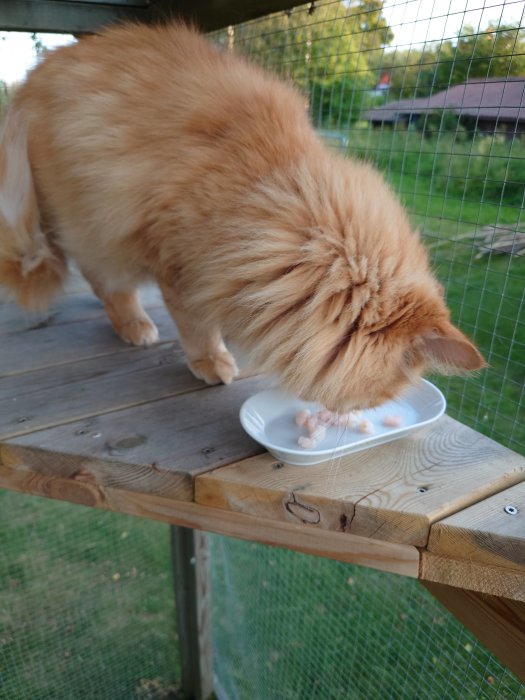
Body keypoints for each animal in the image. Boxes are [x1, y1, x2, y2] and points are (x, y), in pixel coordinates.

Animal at [0, 26, 484, 410]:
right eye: (380, 395)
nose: (353, 415)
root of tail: (32, 79)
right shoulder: (179, 264)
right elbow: (197, 325)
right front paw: (211, 360)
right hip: (89, 220)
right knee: (106, 282)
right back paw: (135, 325)